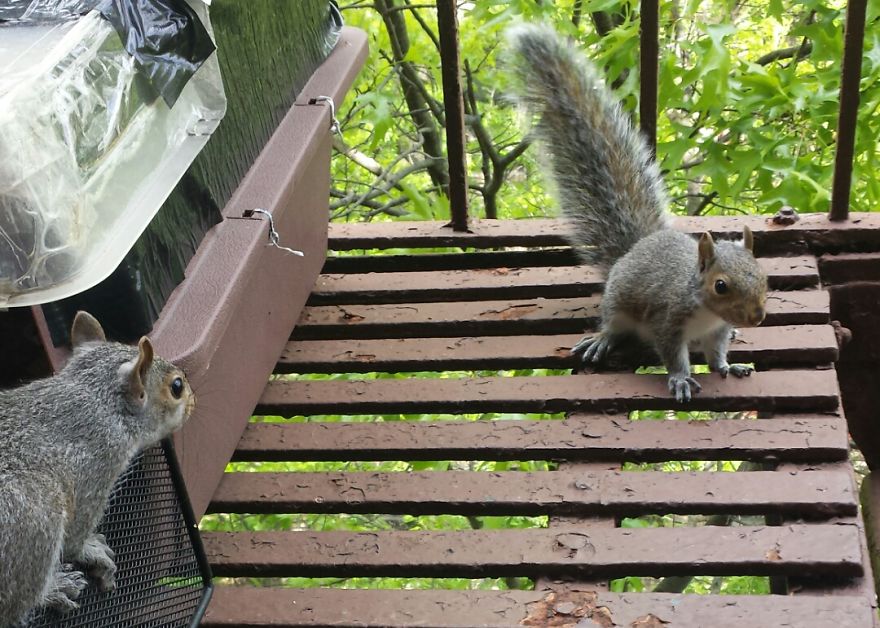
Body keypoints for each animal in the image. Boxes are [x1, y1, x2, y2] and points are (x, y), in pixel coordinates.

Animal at [0, 311, 195, 626]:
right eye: (176, 387)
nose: (193, 401)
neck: (97, 399)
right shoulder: (97, 468)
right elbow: (75, 537)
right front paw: (91, 550)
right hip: (34, 516)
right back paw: (53, 590)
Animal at [505, 24, 768, 402]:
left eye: (764, 276)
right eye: (721, 286)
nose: (757, 316)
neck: (703, 307)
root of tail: (635, 248)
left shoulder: (717, 329)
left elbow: (716, 353)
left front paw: (727, 366)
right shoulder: (666, 320)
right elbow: (672, 354)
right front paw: (680, 378)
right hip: (618, 305)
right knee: (615, 325)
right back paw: (603, 339)